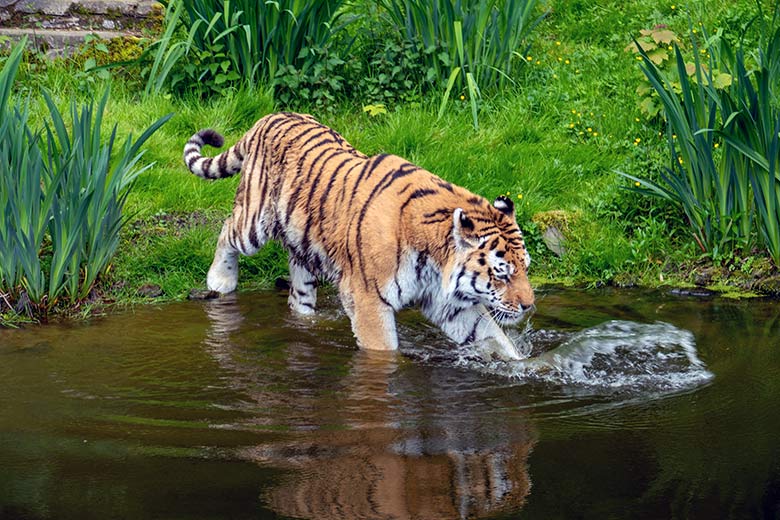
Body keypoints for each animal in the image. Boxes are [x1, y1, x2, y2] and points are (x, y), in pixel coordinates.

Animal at [184, 111, 536, 360]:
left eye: (526, 269)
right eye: (502, 274)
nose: (529, 307)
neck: (436, 259)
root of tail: (268, 117)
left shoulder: (448, 302)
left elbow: (493, 335)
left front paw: (525, 365)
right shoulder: (369, 300)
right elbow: (383, 352)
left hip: (302, 246)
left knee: (298, 294)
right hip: (254, 222)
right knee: (227, 230)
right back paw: (220, 280)